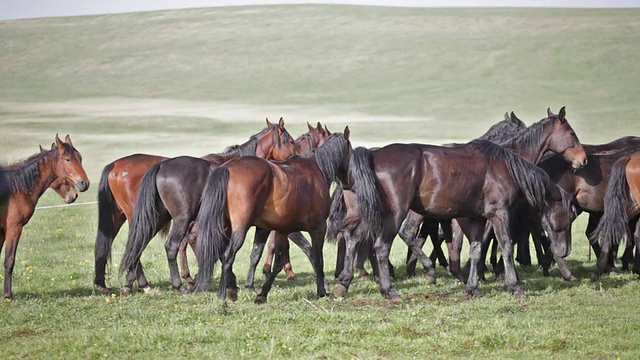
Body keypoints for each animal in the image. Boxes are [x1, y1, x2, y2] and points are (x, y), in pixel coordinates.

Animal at [0, 134, 89, 298]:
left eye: (80, 158)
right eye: (68, 159)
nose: (84, 184)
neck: (15, 189)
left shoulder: (1, 231)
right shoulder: (13, 229)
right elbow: (9, 260)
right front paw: (8, 295)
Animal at [195, 129, 356, 304]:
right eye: (351, 151)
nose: (352, 181)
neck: (316, 168)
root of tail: (228, 168)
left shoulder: (276, 230)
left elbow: (267, 258)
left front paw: (261, 292)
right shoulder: (318, 227)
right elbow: (316, 257)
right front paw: (321, 290)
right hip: (240, 228)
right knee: (227, 255)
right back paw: (224, 292)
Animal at [332, 139, 576, 300]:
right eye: (570, 216)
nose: (564, 251)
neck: (504, 169)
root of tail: (374, 155)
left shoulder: (477, 219)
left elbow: (476, 251)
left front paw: (473, 287)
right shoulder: (499, 214)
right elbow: (506, 247)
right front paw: (514, 285)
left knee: (353, 238)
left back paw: (344, 282)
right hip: (394, 215)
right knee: (381, 247)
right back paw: (389, 290)